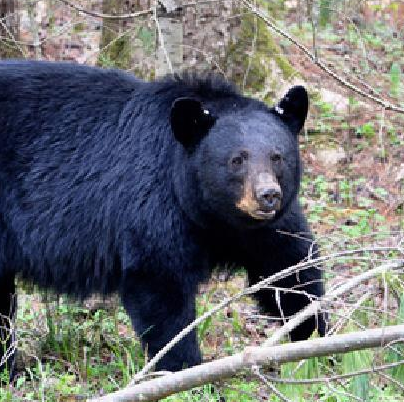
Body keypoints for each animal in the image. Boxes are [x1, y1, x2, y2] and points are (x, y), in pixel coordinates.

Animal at [0, 60, 324, 376]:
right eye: (236, 160)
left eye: (277, 156)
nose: (268, 195)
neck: (214, 216)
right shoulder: (155, 206)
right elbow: (161, 287)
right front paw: (185, 370)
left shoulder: (262, 229)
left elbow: (290, 268)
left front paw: (315, 339)